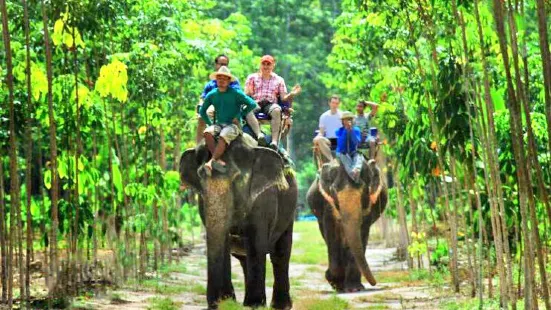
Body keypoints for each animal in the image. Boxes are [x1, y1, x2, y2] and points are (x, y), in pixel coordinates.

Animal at [180, 136, 298, 310]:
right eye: (199, 177)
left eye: (236, 178)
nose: (213, 304)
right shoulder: (203, 202)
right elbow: (223, 242)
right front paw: (227, 302)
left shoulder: (264, 200)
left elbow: (256, 242)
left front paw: (255, 304)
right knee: (244, 259)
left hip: (290, 210)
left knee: (280, 253)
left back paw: (278, 305)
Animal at [306, 159, 388, 292]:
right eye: (334, 190)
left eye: (364, 190)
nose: (375, 283)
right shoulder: (328, 205)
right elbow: (332, 235)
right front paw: (335, 282)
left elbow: (361, 232)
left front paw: (354, 289)